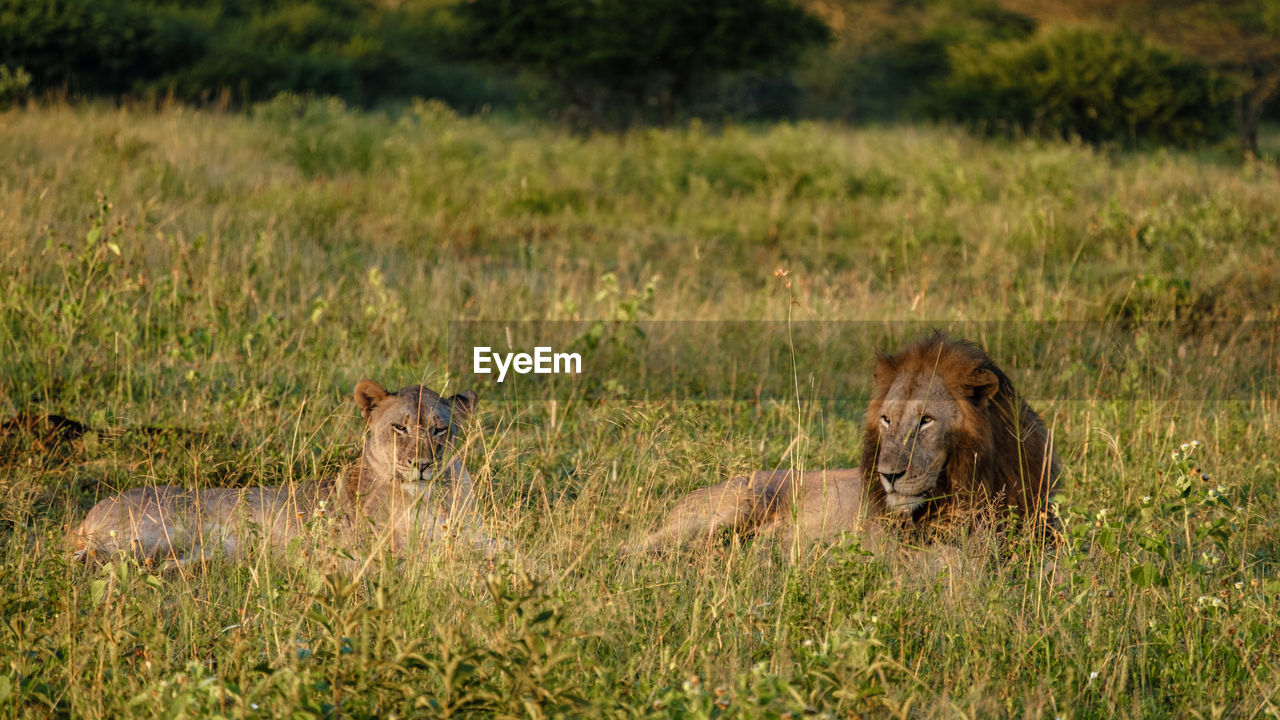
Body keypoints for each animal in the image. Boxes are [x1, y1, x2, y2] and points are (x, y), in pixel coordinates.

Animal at [70, 379, 488, 568]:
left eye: (439, 430)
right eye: (400, 428)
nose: (423, 465)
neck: (432, 497)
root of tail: (89, 513)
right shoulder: (391, 548)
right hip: (159, 533)